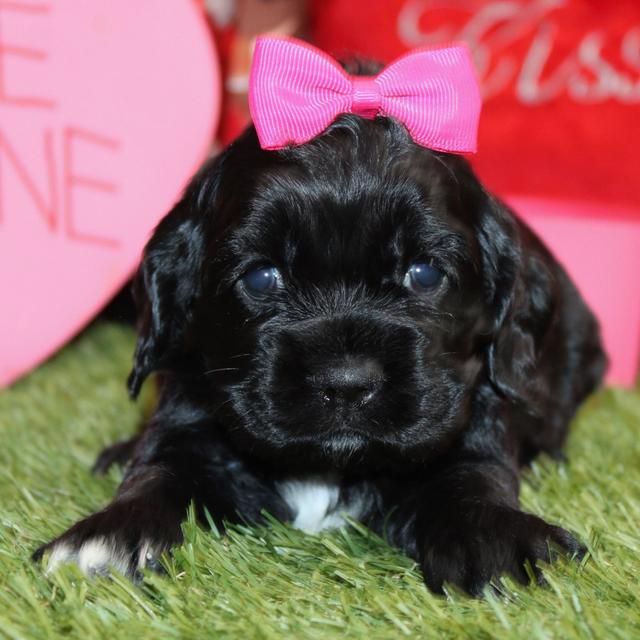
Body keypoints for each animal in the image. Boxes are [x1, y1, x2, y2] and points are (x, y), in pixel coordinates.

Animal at [33, 110, 604, 596]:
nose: (347, 383)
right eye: (261, 278)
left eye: (424, 273)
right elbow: (160, 471)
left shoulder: (472, 416)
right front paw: (108, 538)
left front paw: (500, 543)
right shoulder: (188, 414)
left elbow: (471, 477)